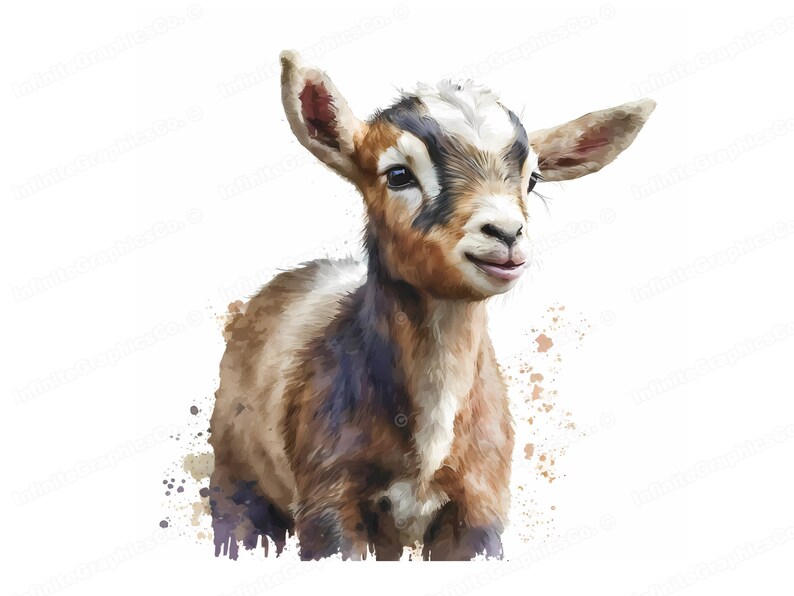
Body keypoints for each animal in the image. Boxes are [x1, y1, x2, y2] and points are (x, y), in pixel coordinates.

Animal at [208, 50, 655, 561]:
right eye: (398, 174)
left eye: (533, 179)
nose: (505, 233)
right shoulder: (328, 505)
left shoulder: (480, 508)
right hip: (237, 487)